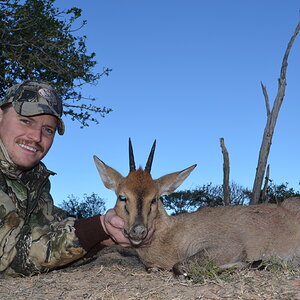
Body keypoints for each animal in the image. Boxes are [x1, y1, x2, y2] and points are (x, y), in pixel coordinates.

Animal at [94, 139, 300, 276]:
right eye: (122, 197)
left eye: (154, 199)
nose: (138, 231)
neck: (172, 234)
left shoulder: (227, 246)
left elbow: (179, 266)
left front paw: (257, 262)